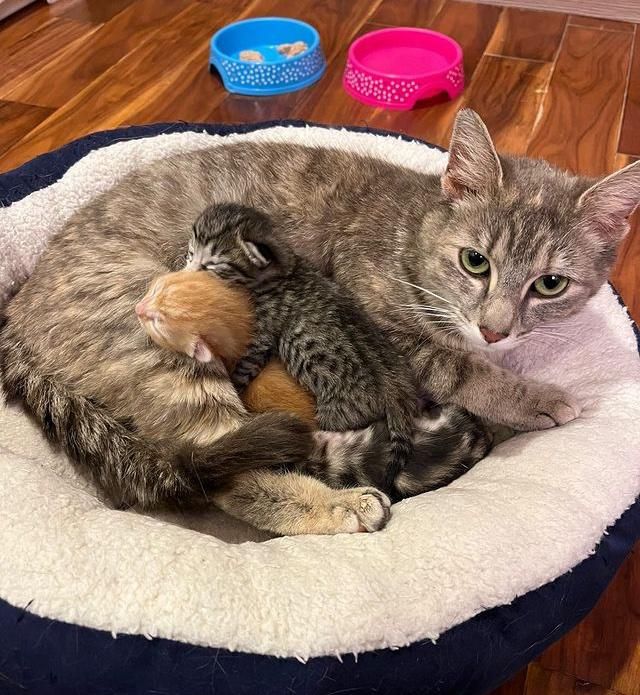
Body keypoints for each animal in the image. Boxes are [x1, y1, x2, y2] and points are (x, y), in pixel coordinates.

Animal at [188, 201, 420, 494]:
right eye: (191, 251)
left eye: (212, 264)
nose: (188, 269)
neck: (285, 270)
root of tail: (398, 388)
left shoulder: (261, 336)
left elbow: (243, 369)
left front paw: (235, 388)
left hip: (337, 413)